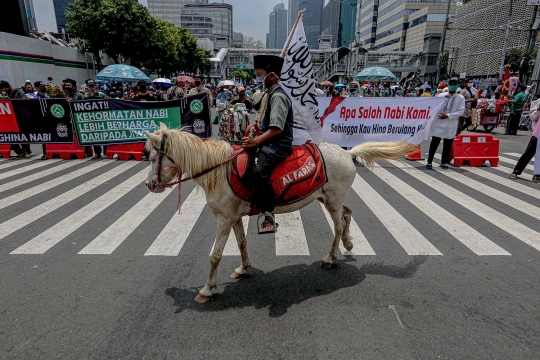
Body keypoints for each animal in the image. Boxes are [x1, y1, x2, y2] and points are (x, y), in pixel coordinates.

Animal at [143, 125, 414, 302]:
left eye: (154, 156)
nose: (150, 185)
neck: (219, 170)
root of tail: (347, 153)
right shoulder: (234, 217)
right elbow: (241, 242)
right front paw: (243, 268)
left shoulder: (224, 219)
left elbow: (215, 256)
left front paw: (207, 290)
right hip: (330, 199)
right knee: (347, 213)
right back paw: (348, 243)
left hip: (333, 201)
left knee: (338, 224)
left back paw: (330, 258)